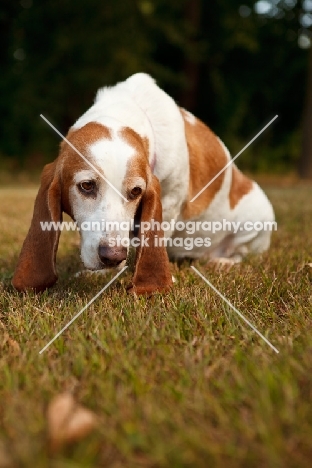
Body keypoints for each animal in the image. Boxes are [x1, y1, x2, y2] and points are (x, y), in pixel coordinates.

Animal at [12, 72, 274, 292]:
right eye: (86, 186)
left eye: (136, 191)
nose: (112, 256)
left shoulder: (170, 202)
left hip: (258, 218)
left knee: (241, 252)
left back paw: (222, 261)